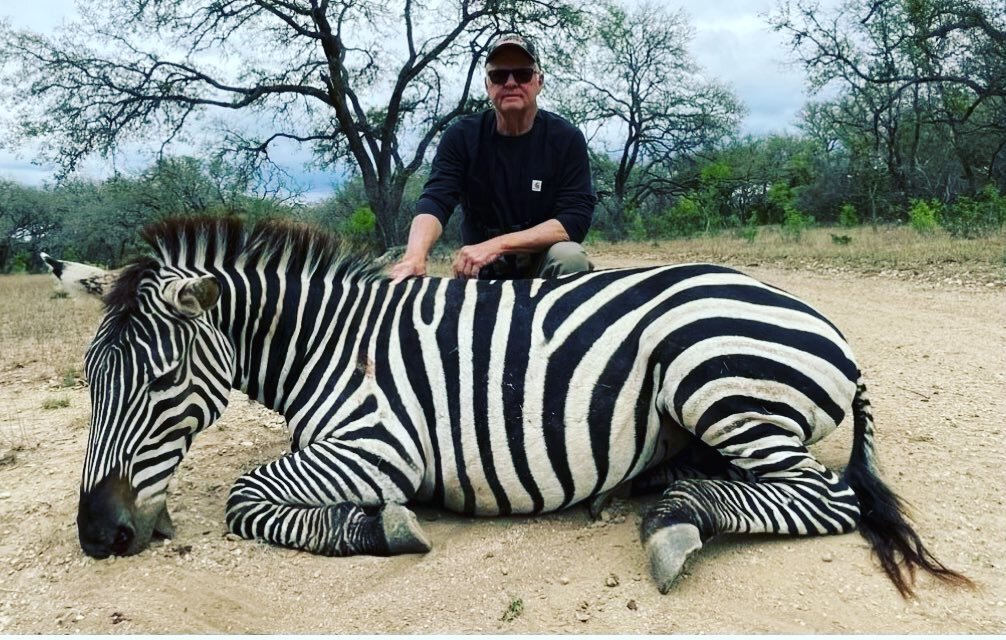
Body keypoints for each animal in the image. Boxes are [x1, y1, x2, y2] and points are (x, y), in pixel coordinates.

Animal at [43, 216, 969, 595]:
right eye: (89, 381)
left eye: (162, 382)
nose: (96, 537)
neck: (332, 344)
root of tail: (819, 320)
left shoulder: (379, 446)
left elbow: (246, 498)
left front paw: (384, 525)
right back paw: (648, 488)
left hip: (712, 373)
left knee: (825, 495)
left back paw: (674, 518)